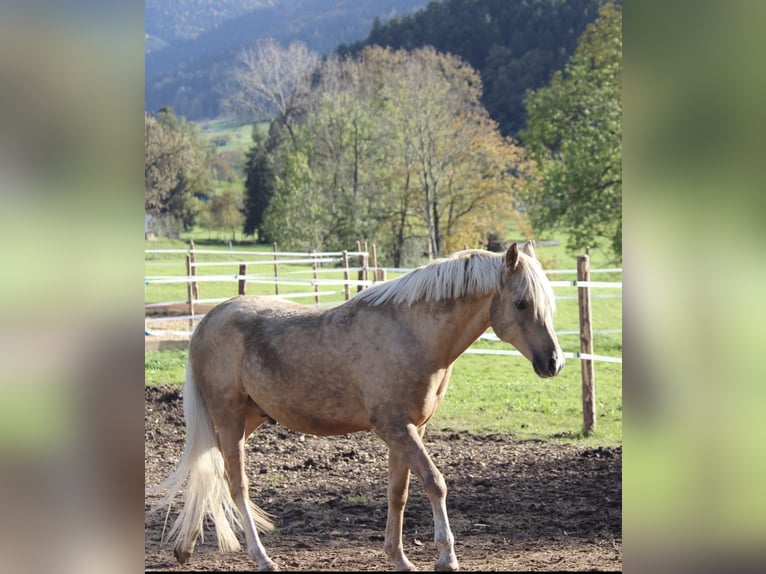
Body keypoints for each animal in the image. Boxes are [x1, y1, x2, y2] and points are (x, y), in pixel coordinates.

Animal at [153, 242, 568, 572]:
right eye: (521, 303)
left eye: (548, 304)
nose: (554, 362)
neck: (412, 334)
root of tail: (208, 320)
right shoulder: (395, 428)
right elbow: (435, 482)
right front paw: (446, 557)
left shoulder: (410, 431)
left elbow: (398, 493)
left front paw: (399, 558)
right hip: (229, 418)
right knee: (237, 485)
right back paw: (262, 559)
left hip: (245, 420)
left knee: (210, 471)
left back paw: (185, 548)